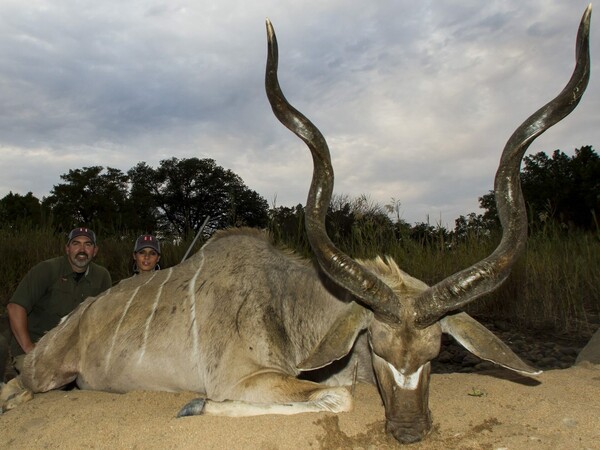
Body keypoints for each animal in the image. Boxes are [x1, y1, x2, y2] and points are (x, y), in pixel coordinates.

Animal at [0, 7, 592, 446]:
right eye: (377, 347)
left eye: (435, 353)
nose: (408, 432)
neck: (289, 301)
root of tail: (69, 324)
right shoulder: (247, 377)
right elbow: (335, 396)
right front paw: (194, 406)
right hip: (43, 371)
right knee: (16, 387)